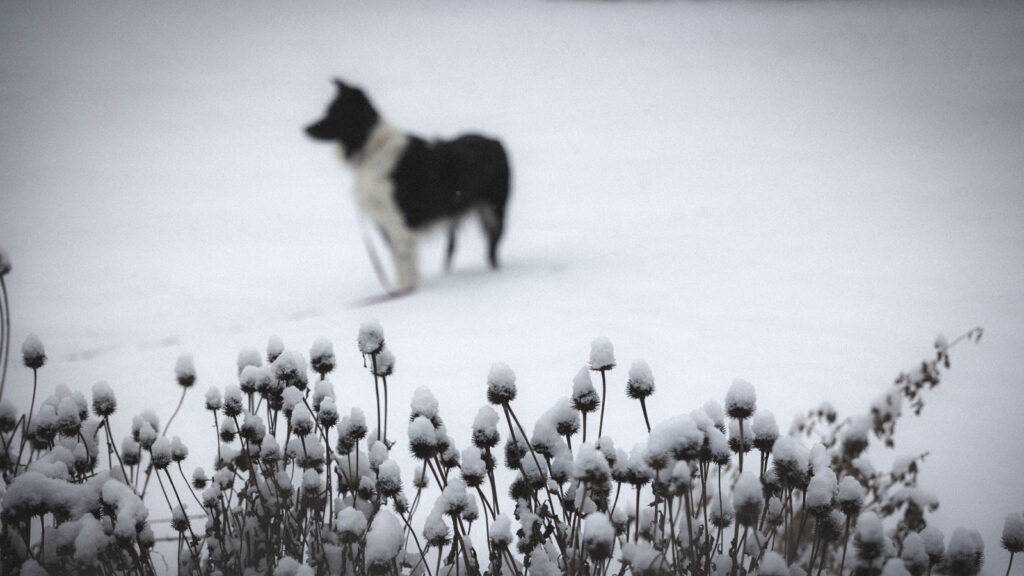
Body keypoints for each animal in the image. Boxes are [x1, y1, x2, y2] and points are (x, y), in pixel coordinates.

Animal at [303, 78, 512, 291]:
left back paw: (494, 275)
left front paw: (406, 292)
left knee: (492, 249)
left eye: (333, 112)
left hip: (494, 211)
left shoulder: (399, 222)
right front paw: (400, 291)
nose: (305, 129)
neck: (372, 151)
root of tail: (495, 141)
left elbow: (404, 262)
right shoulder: (386, 222)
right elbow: (398, 261)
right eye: (328, 109)